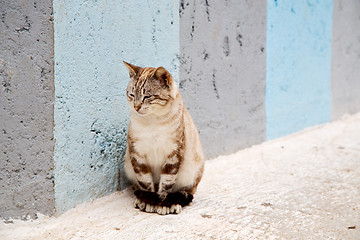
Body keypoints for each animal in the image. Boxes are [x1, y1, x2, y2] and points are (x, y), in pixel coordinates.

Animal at [123, 61, 204, 215]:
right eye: (131, 95)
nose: (136, 107)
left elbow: (166, 184)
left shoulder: (173, 154)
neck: (152, 121)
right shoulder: (138, 154)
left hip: (192, 170)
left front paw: (162, 204)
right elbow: (145, 182)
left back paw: (173, 204)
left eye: (147, 97)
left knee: (185, 192)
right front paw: (148, 202)